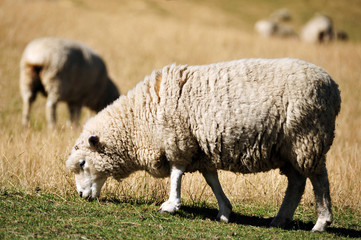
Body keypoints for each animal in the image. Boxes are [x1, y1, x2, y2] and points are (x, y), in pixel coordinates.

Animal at [66, 58, 338, 232]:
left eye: (83, 163)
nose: (80, 195)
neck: (140, 119)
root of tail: (332, 86)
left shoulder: (177, 140)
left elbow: (176, 174)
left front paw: (171, 205)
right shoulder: (201, 148)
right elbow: (212, 180)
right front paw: (225, 211)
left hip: (307, 138)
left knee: (319, 180)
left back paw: (321, 223)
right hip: (289, 148)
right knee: (297, 182)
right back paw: (280, 220)